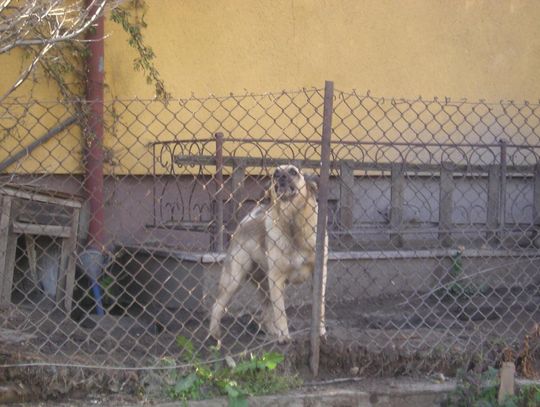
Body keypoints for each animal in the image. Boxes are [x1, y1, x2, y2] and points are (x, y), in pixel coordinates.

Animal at [209, 165, 326, 344]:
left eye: (293, 172)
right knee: (217, 305)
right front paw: (284, 337)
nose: (280, 176)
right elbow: (281, 312)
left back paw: (271, 331)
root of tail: (246, 220)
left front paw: (320, 332)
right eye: (274, 174)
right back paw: (214, 335)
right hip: (234, 280)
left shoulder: (318, 275)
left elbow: (319, 307)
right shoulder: (276, 278)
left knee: (265, 313)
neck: (292, 223)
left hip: (265, 285)